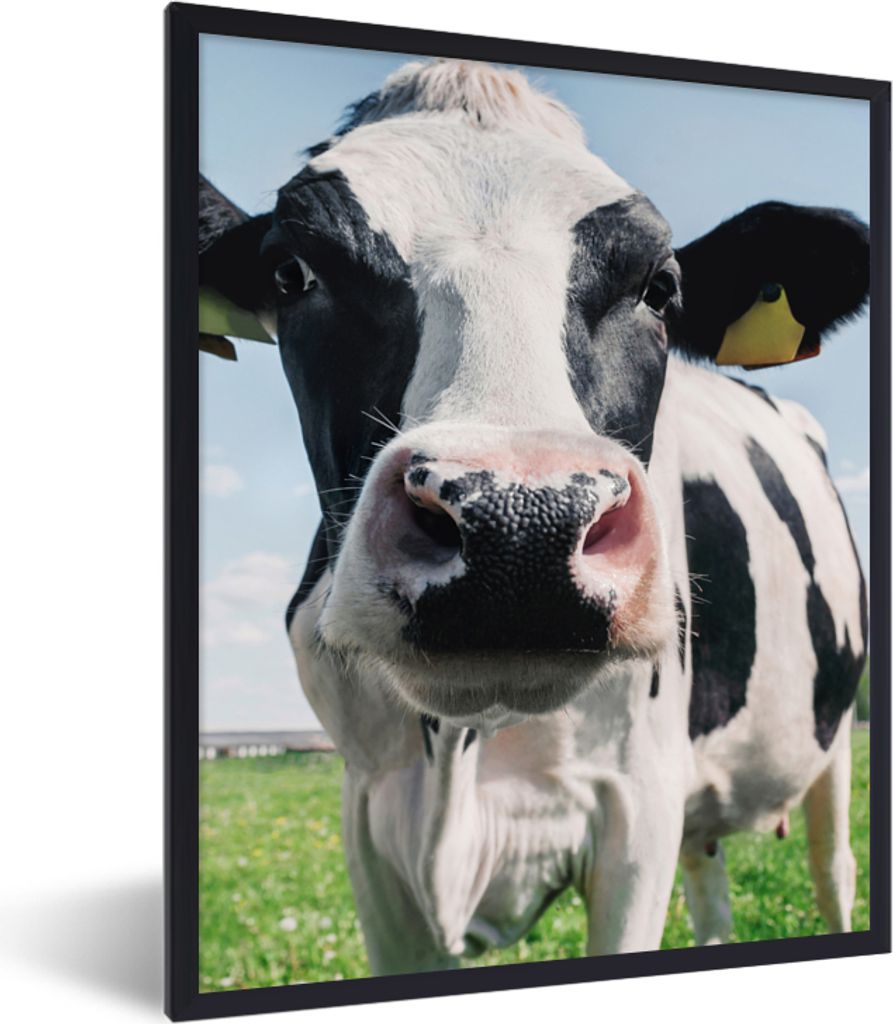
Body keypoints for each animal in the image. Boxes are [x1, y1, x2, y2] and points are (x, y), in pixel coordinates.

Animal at [197, 60, 869, 971]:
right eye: (291, 272)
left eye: (660, 287)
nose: (522, 527)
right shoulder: (370, 820)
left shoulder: (635, 806)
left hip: (830, 744)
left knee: (832, 869)